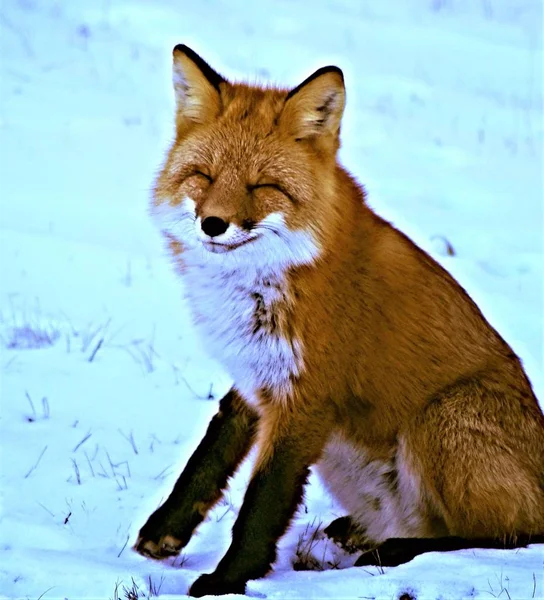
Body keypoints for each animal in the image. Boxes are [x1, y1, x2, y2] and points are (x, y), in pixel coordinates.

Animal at [135, 45, 544, 596]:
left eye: (262, 185)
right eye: (204, 176)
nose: (213, 224)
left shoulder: (306, 398)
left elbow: (262, 503)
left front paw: (227, 580)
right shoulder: (257, 372)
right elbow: (210, 452)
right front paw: (165, 531)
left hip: (439, 418)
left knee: (507, 538)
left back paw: (394, 552)